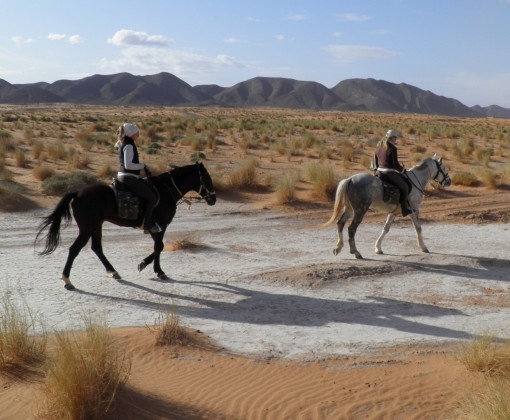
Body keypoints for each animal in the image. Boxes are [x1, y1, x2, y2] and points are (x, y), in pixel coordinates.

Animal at [34, 161, 215, 288]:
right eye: (207, 178)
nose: (213, 199)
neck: (166, 190)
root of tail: (77, 193)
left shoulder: (153, 227)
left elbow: (158, 247)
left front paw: (143, 264)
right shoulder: (160, 225)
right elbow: (159, 246)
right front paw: (158, 271)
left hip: (96, 226)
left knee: (96, 248)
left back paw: (113, 272)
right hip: (87, 228)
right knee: (74, 249)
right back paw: (67, 280)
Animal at [322, 155, 450, 260]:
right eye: (443, 167)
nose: (449, 181)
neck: (415, 180)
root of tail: (350, 179)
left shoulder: (393, 213)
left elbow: (385, 229)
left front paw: (378, 248)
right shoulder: (414, 210)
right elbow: (418, 228)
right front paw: (423, 247)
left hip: (349, 209)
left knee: (340, 223)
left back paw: (338, 248)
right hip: (360, 211)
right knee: (351, 228)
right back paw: (356, 252)